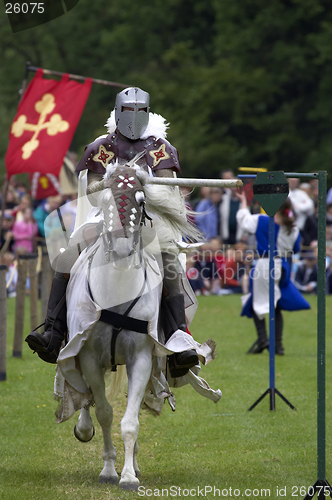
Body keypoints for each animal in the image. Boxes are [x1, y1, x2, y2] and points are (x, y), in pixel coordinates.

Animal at [57, 163, 205, 488]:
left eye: (140, 200)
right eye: (105, 201)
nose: (123, 249)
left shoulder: (141, 359)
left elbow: (129, 421)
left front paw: (127, 475)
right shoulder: (88, 356)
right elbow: (104, 412)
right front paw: (109, 470)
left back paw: (134, 463)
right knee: (84, 394)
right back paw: (84, 427)